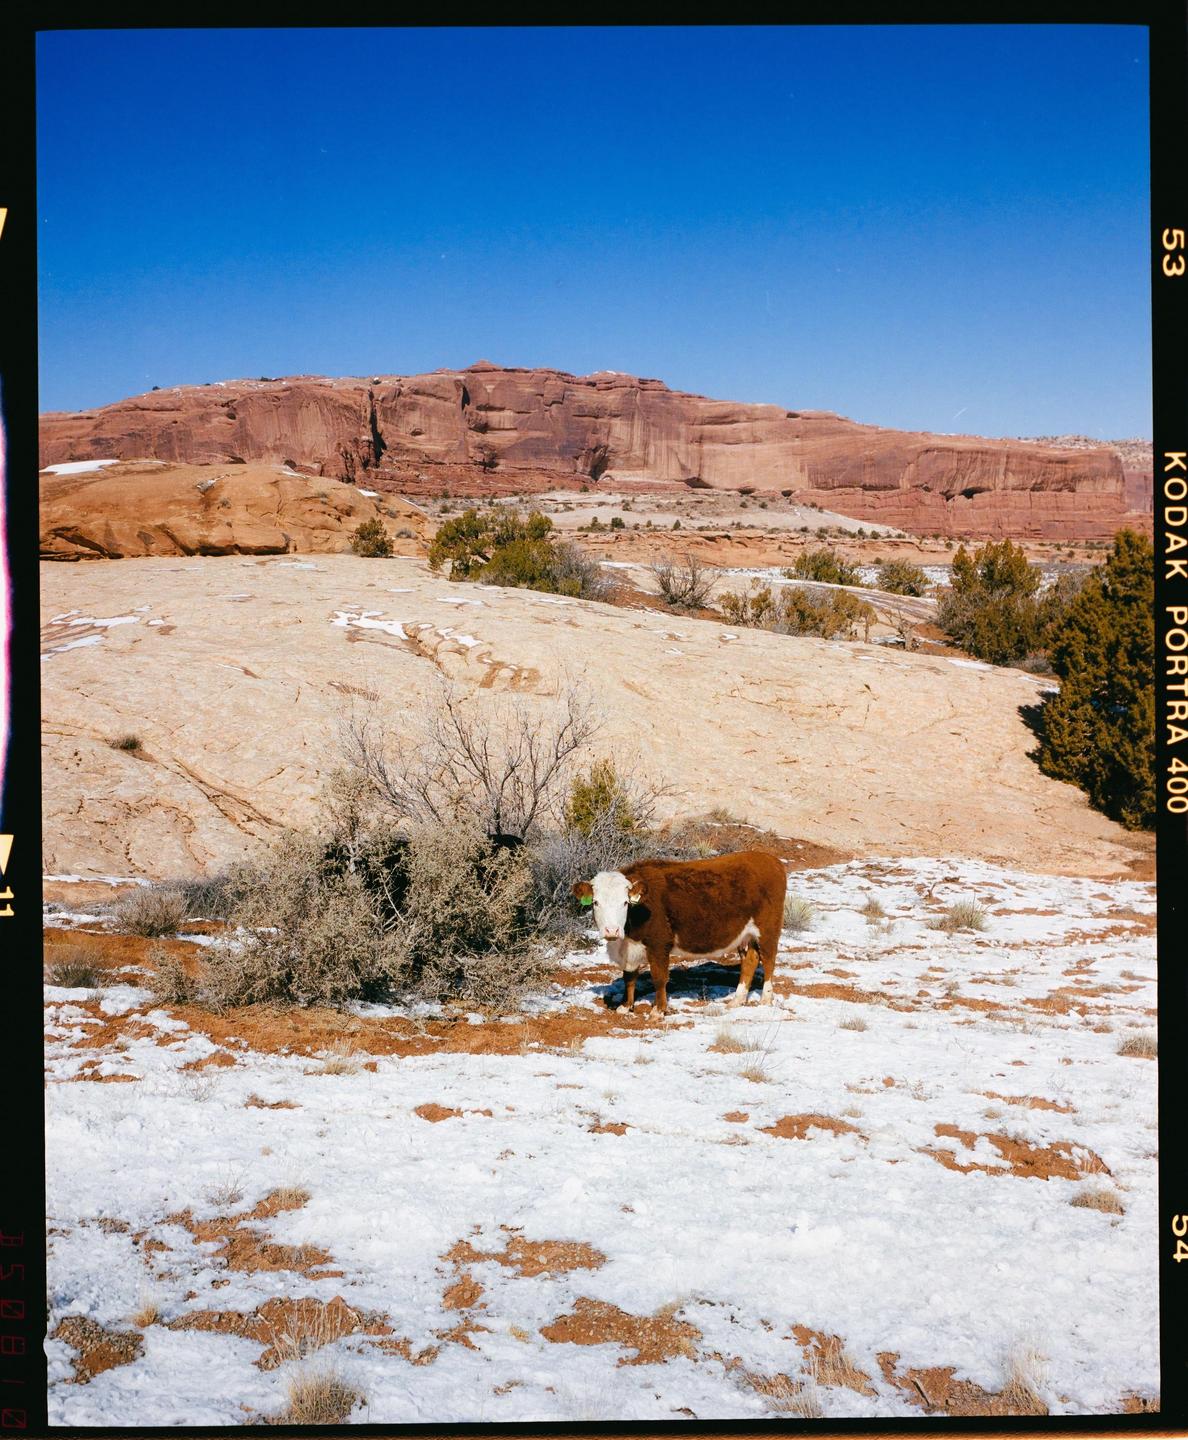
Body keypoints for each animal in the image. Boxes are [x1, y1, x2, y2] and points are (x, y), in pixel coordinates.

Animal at [572, 850, 787, 1016]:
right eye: (595, 902)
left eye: (625, 902)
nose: (612, 930)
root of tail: (770, 859)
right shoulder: (630, 949)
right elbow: (629, 976)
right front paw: (626, 1006)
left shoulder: (659, 944)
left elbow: (659, 977)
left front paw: (658, 1010)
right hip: (745, 935)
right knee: (750, 961)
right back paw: (737, 1000)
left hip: (768, 929)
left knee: (769, 961)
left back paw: (765, 999)